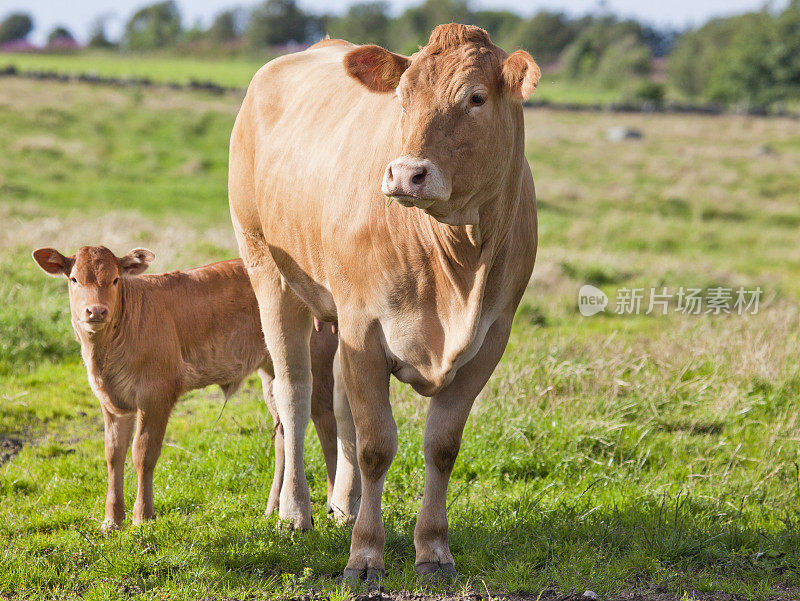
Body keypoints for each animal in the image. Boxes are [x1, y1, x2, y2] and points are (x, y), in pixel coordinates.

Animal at [32, 246, 340, 532]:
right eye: (73, 279)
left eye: (116, 279)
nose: (96, 310)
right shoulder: (111, 402)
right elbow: (113, 455)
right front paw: (111, 520)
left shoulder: (156, 394)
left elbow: (143, 453)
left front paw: (142, 517)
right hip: (273, 371)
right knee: (284, 433)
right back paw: (274, 507)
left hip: (317, 367)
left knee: (327, 428)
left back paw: (333, 507)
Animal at [228, 24, 540, 580]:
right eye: (402, 99)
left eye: (476, 98)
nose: (406, 174)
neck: (456, 260)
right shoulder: (365, 329)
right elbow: (376, 446)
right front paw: (365, 555)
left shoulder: (489, 341)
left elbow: (441, 446)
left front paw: (432, 549)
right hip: (269, 271)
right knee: (295, 394)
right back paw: (295, 511)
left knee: (338, 403)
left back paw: (345, 504)